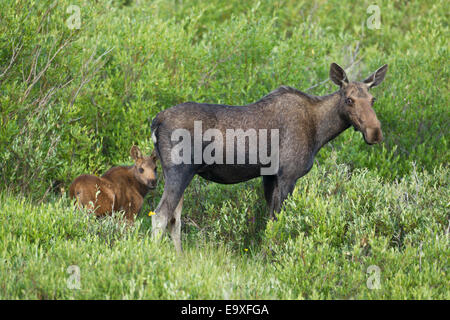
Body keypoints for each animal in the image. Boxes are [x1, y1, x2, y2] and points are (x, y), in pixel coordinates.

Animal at [150, 63, 386, 252]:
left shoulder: (270, 176)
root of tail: (157, 120)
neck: (320, 131)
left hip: (178, 173)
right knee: (161, 215)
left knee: (174, 219)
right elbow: (278, 221)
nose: (375, 132)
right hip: (179, 170)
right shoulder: (288, 175)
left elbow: (270, 222)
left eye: (373, 99)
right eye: (349, 100)